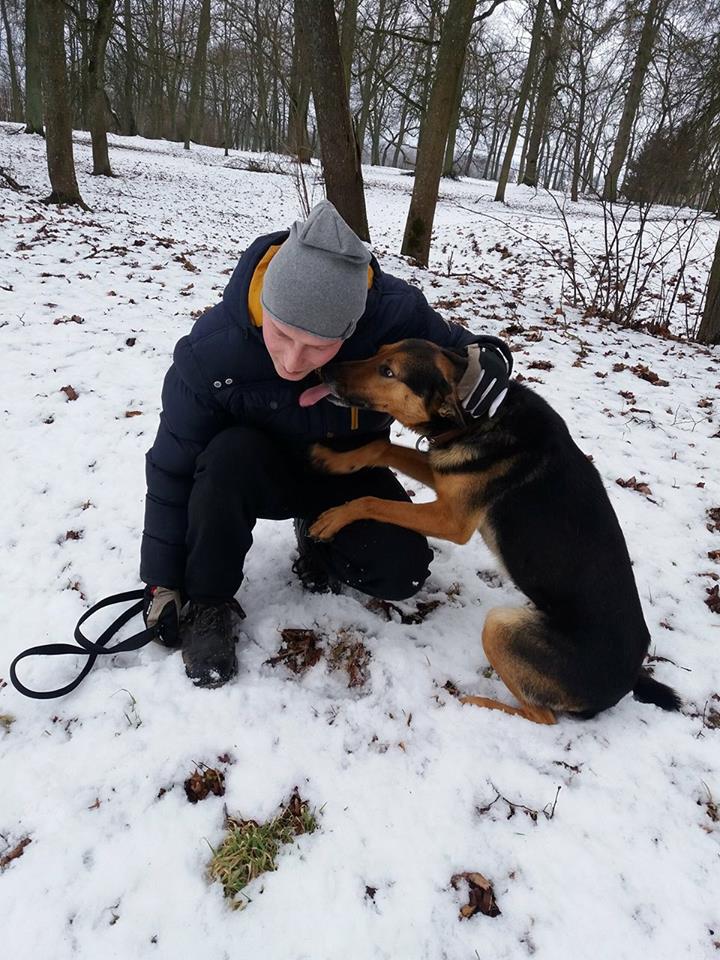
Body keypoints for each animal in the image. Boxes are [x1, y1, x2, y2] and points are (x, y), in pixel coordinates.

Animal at [310, 338, 680, 720]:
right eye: (380, 350)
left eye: (388, 372)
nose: (325, 370)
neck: (479, 415)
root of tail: (628, 681)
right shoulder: (445, 475)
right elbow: (381, 446)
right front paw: (337, 459)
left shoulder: (451, 518)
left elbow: (374, 502)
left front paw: (336, 516)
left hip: (500, 627)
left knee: (541, 717)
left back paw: (477, 704)